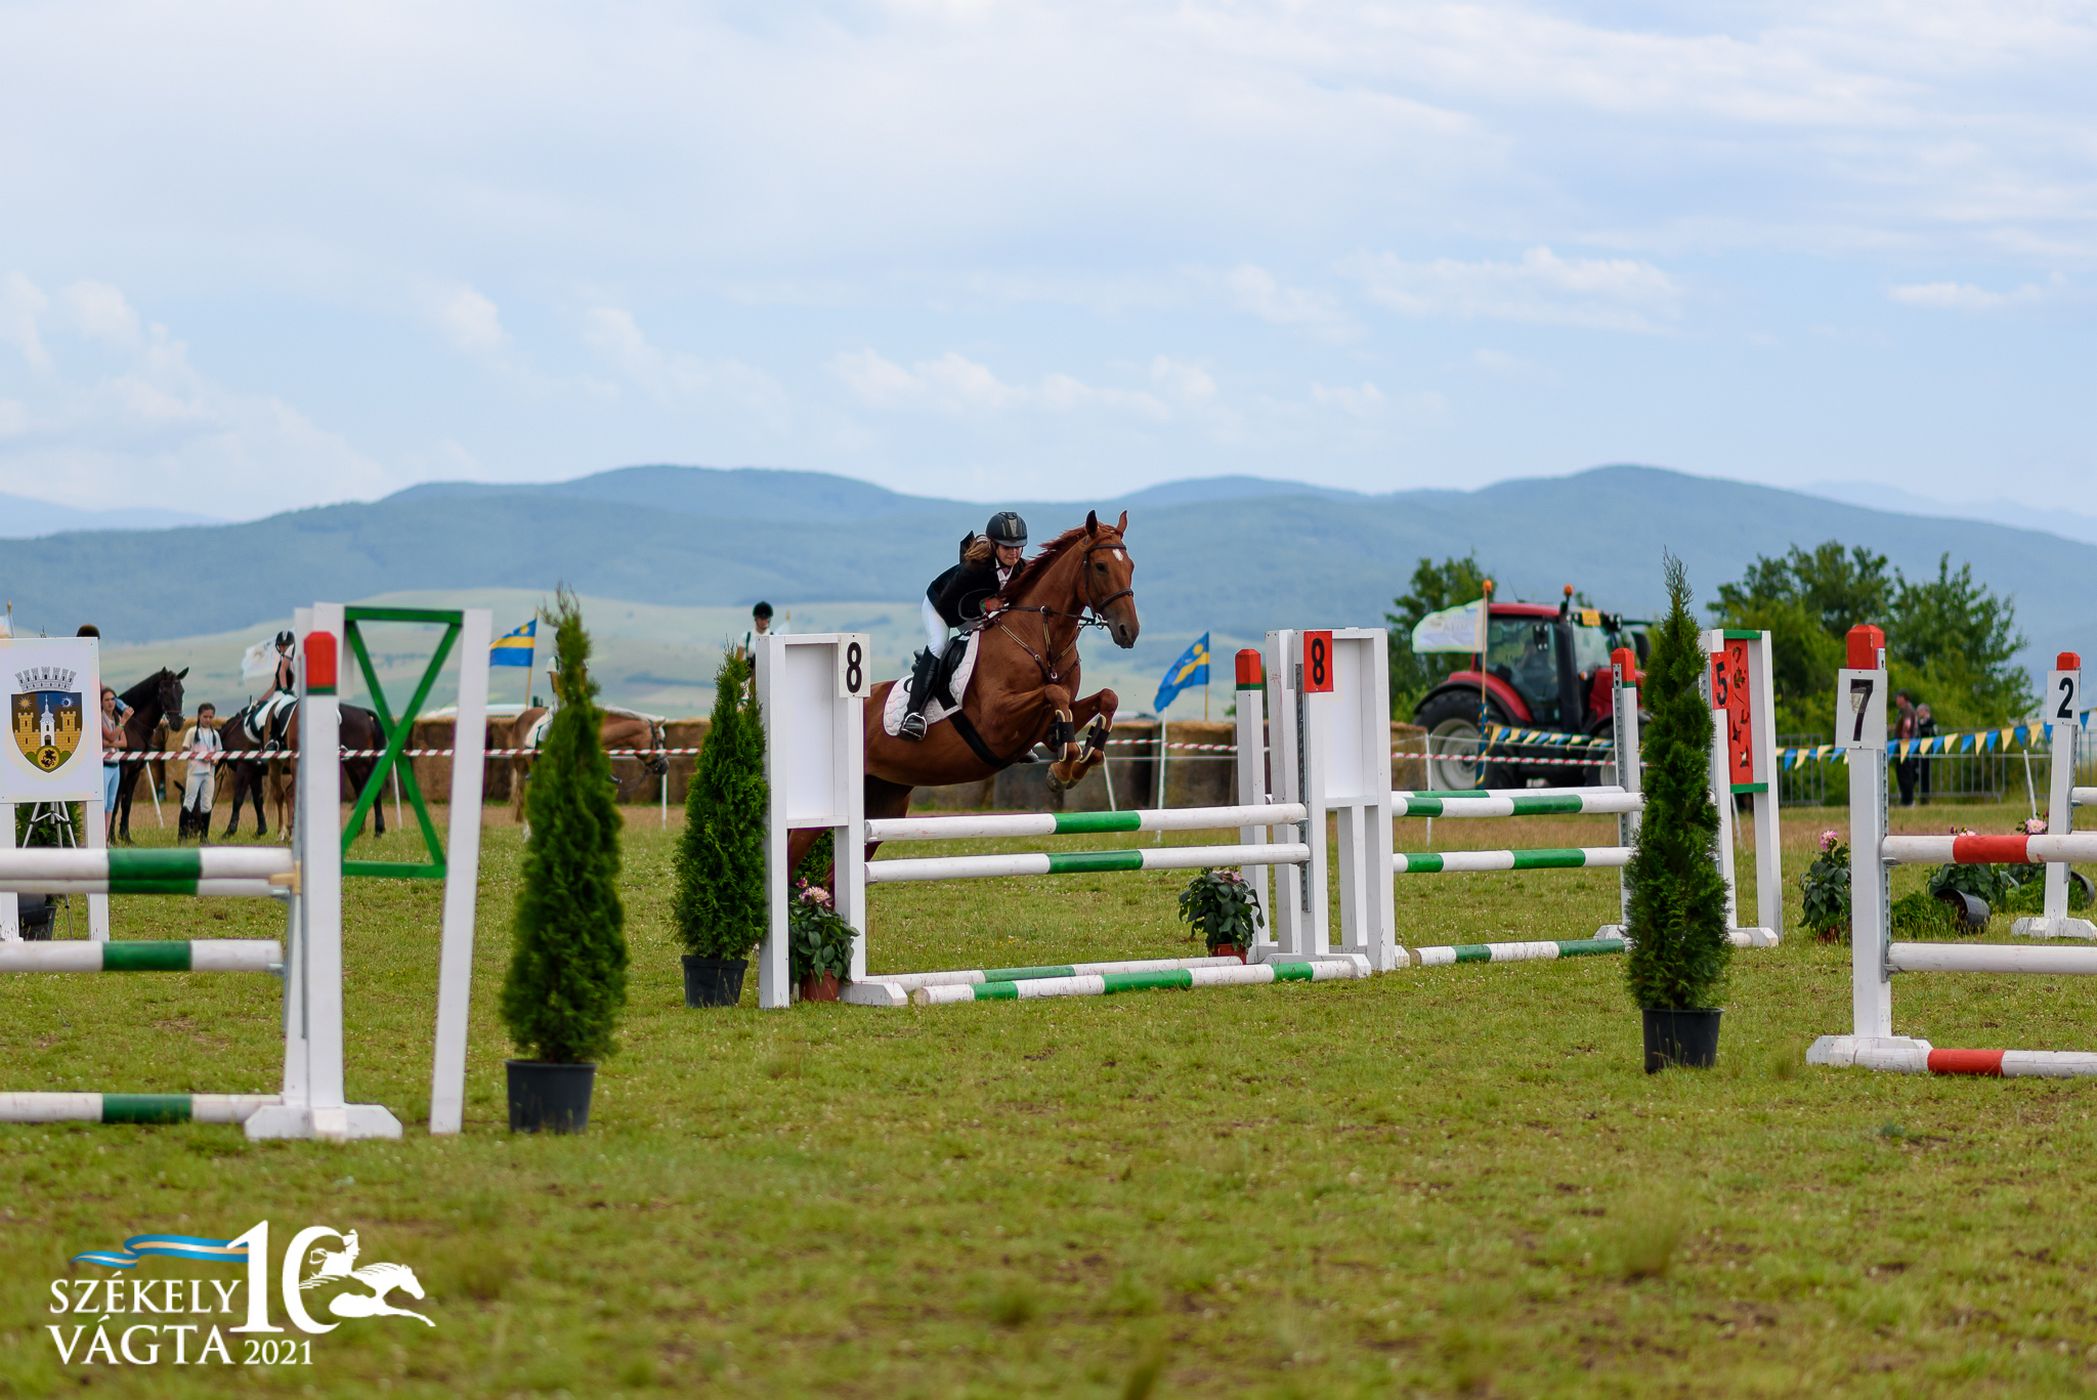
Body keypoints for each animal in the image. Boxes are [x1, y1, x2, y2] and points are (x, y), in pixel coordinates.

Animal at [788, 509, 1149, 867]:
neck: (1041, 639)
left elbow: (1107, 698)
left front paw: (1086, 757)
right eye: (1100, 566)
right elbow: (1053, 694)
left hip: (885, 800)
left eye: (1131, 566)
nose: (1128, 631)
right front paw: (1063, 768)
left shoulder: (1049, 724)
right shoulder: (995, 721)